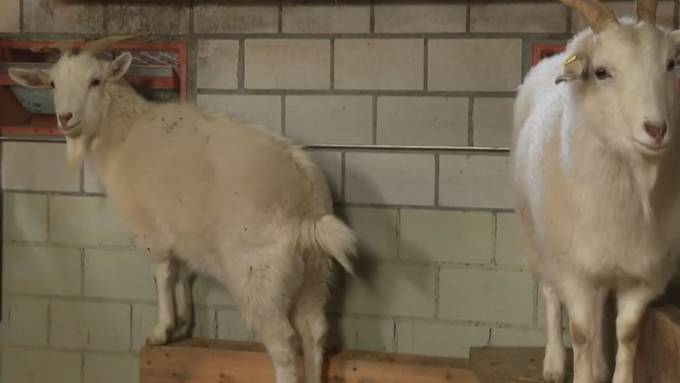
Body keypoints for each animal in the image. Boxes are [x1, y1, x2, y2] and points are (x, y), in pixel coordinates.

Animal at [9, 36, 356, 383]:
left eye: (95, 81)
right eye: (52, 83)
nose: (65, 118)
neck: (123, 132)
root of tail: (306, 207)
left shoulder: (150, 231)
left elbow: (162, 276)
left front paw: (162, 330)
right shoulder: (183, 234)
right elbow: (182, 276)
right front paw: (182, 324)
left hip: (258, 275)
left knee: (284, 344)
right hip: (315, 275)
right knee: (314, 334)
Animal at [516, 0, 680, 383]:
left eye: (670, 64)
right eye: (602, 72)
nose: (656, 129)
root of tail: (558, 55)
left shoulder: (644, 275)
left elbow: (628, 332)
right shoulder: (573, 269)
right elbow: (581, 332)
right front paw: (578, 368)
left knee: (602, 302)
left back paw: (600, 363)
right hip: (539, 241)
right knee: (551, 296)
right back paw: (554, 362)